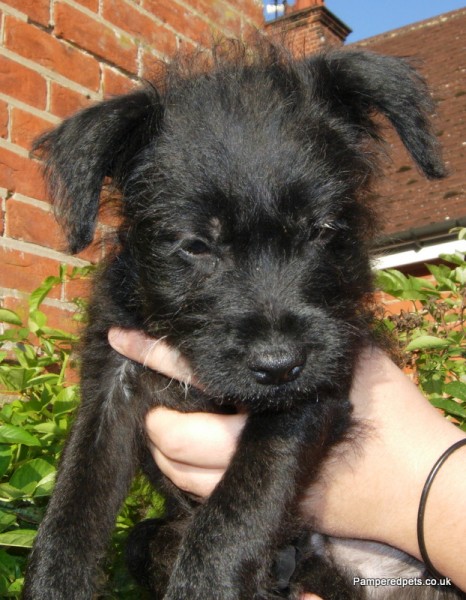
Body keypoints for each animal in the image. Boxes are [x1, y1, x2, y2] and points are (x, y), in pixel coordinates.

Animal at [22, 42, 458, 600]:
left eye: (322, 230)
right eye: (196, 245)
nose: (279, 365)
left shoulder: (317, 389)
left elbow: (236, 509)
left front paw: (205, 582)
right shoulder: (110, 385)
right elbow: (69, 512)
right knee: (144, 539)